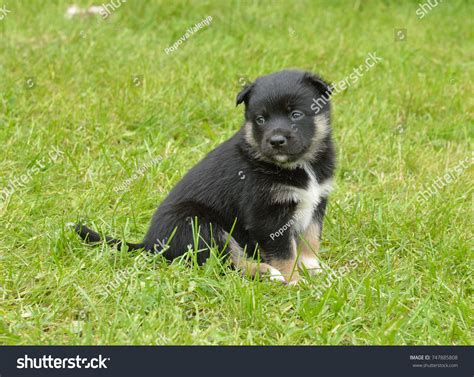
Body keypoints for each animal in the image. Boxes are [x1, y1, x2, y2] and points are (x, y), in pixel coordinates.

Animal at [74, 70, 336, 282]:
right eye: (261, 119)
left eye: (296, 115)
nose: (276, 141)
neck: (299, 164)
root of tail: (150, 243)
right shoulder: (267, 214)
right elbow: (283, 251)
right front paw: (293, 279)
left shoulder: (316, 202)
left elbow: (311, 239)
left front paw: (313, 269)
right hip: (201, 225)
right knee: (226, 263)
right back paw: (266, 272)